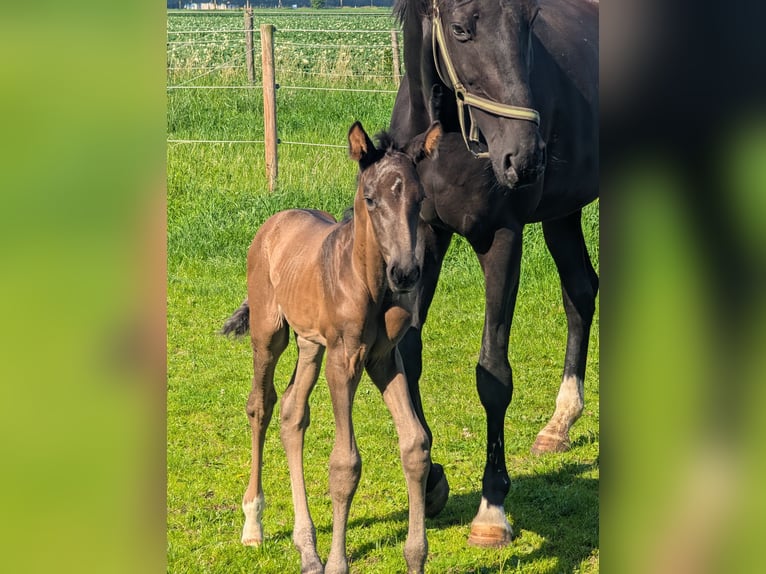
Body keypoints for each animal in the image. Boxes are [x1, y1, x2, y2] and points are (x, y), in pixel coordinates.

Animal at [222, 121, 442, 574]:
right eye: (371, 199)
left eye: (419, 199)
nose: (405, 273)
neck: (366, 281)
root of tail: (275, 221)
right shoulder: (344, 361)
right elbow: (345, 463)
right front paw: (339, 563)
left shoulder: (383, 359)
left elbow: (415, 444)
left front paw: (415, 557)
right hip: (270, 333)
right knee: (261, 405)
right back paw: (253, 523)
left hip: (310, 344)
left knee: (292, 412)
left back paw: (307, 548)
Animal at [388, 0, 599, 547]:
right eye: (460, 29)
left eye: (529, 21)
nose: (524, 157)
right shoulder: (426, 235)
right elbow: (408, 352)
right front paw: (432, 479)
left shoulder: (500, 238)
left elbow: (493, 374)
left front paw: (492, 508)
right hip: (563, 212)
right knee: (580, 291)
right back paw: (560, 423)